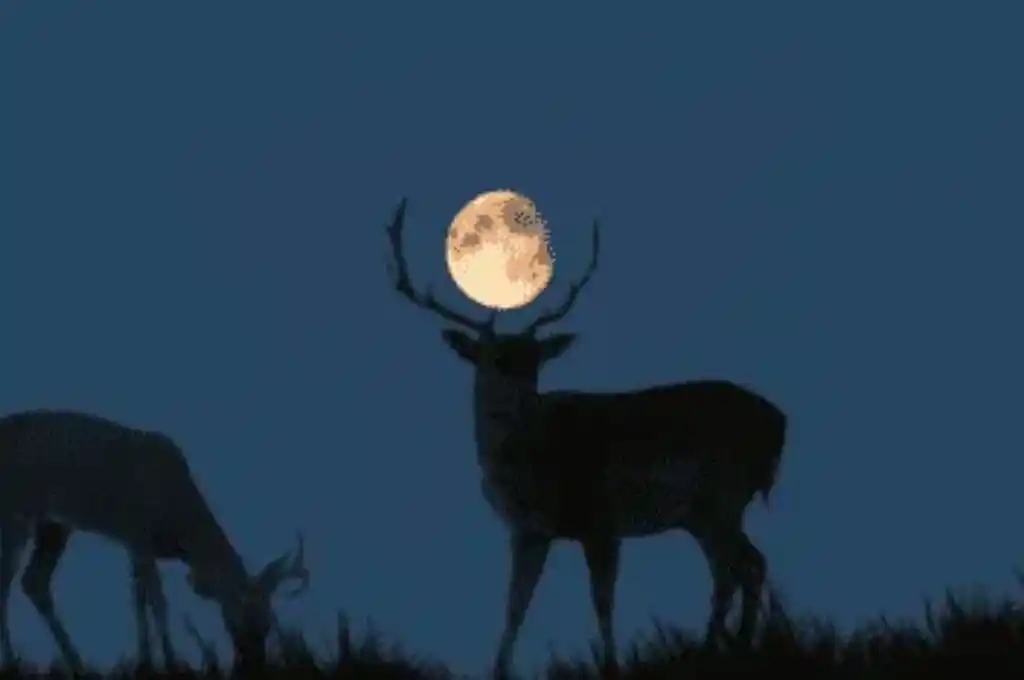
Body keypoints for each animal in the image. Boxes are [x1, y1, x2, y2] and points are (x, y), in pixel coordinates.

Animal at [0, 409, 309, 673]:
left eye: (269, 625)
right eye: (248, 621)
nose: (255, 663)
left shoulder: (133, 544)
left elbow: (138, 598)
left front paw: (145, 659)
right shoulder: (139, 532)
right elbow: (157, 600)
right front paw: (169, 660)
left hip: (54, 526)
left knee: (34, 581)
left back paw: (77, 664)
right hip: (15, 508)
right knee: (6, 581)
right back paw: (12, 661)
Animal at [384, 198, 788, 676]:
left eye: (537, 362)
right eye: (496, 358)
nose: (519, 401)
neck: (529, 474)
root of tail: (779, 424)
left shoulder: (600, 519)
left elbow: (602, 602)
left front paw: (611, 665)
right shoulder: (529, 531)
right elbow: (515, 606)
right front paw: (498, 670)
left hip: (722, 495)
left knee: (732, 570)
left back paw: (715, 647)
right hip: (704, 512)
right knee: (748, 564)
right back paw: (738, 644)